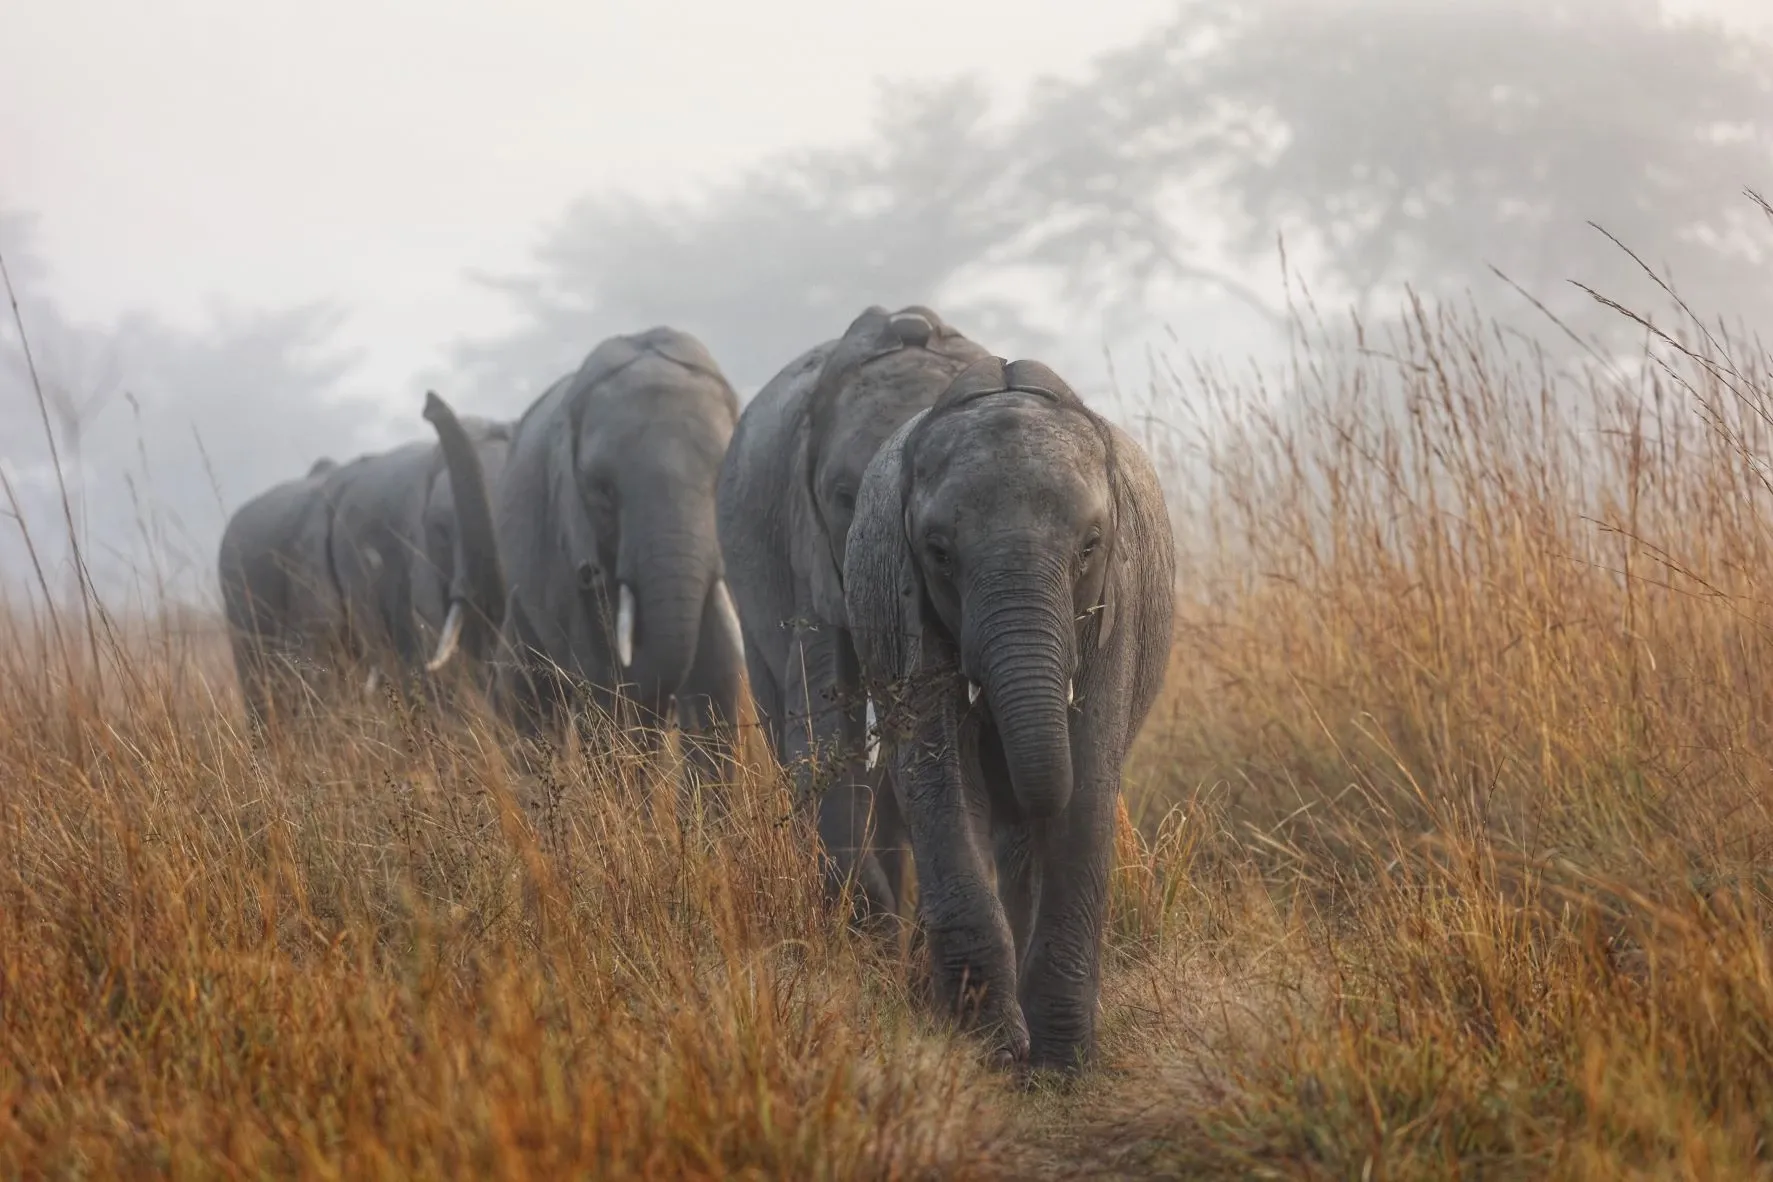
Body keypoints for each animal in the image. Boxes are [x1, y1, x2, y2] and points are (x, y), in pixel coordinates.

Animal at [421, 327, 747, 805]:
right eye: (602, 490)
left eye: (723, 478)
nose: (428, 403)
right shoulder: (568, 539)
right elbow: (605, 695)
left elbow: (716, 682)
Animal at [843, 357, 1177, 1074]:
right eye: (938, 551)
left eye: (1090, 545)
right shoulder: (903, 606)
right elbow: (938, 777)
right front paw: (990, 1051)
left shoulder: (1117, 608)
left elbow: (1087, 784)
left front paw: (1060, 1066)